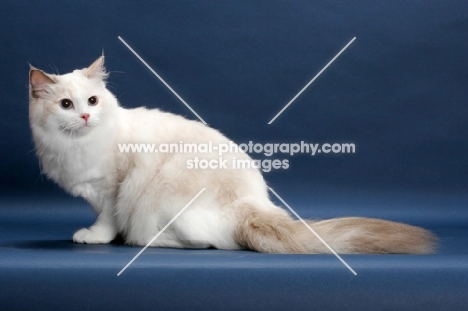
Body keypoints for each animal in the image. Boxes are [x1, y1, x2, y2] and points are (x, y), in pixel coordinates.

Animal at [29, 56, 436, 255]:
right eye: (66, 105)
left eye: (92, 101)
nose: (85, 116)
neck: (78, 146)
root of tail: (253, 205)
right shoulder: (92, 191)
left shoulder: (113, 190)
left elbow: (107, 221)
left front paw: (96, 237)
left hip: (160, 199)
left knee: (202, 242)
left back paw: (143, 241)